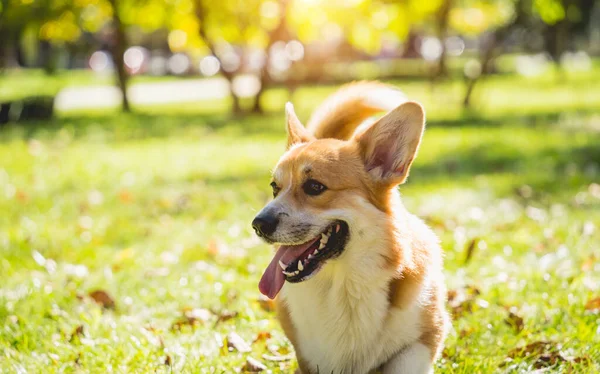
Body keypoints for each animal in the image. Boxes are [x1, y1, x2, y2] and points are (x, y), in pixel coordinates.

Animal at [251, 82, 448, 374]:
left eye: (315, 187)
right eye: (275, 188)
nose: (258, 224)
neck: (345, 285)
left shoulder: (423, 338)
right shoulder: (311, 358)